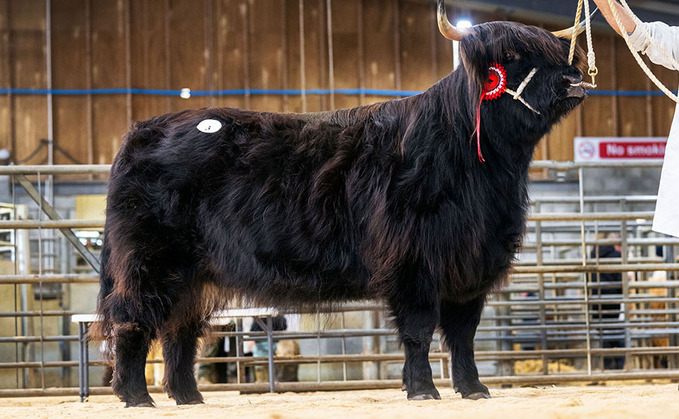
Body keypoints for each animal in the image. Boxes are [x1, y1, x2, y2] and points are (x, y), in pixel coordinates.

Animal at [94, 0, 588, 406]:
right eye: (513, 58)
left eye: (557, 52)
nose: (574, 79)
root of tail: (143, 131)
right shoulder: (413, 264)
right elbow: (419, 331)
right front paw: (423, 390)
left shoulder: (472, 265)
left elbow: (462, 335)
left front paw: (474, 389)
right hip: (150, 263)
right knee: (132, 321)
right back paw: (137, 396)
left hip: (192, 277)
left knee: (180, 330)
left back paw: (188, 397)